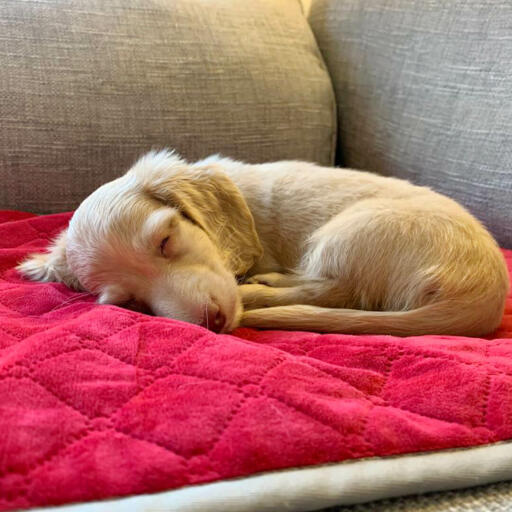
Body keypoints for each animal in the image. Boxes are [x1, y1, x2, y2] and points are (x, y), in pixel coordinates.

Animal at [18, 150, 510, 338]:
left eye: (166, 240)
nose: (214, 322)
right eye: (130, 303)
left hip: (351, 230)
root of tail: (485, 295)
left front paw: (252, 286)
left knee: (333, 291)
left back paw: (262, 286)